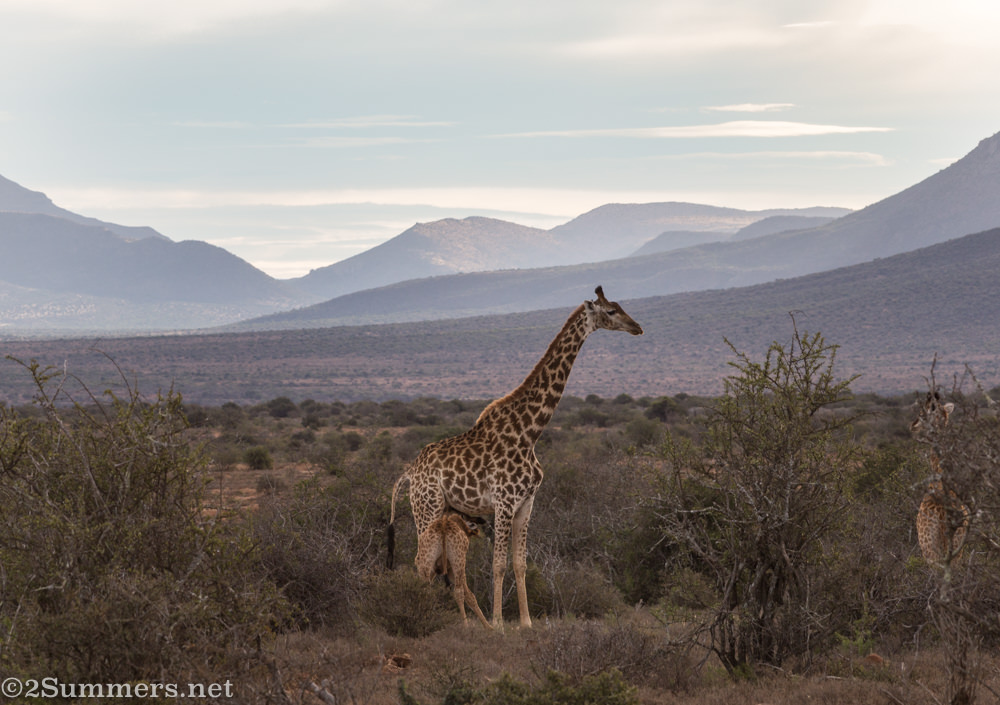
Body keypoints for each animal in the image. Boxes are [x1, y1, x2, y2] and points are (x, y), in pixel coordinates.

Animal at [388, 286, 643, 629]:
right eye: (611, 311)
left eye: (620, 306)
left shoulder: (527, 503)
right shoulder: (504, 502)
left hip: (440, 511)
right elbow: (498, 564)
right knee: (421, 561)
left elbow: (520, 563)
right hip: (427, 508)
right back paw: (423, 617)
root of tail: (409, 472)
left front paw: (525, 622)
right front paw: (498, 624)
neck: (529, 432)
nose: (637, 327)